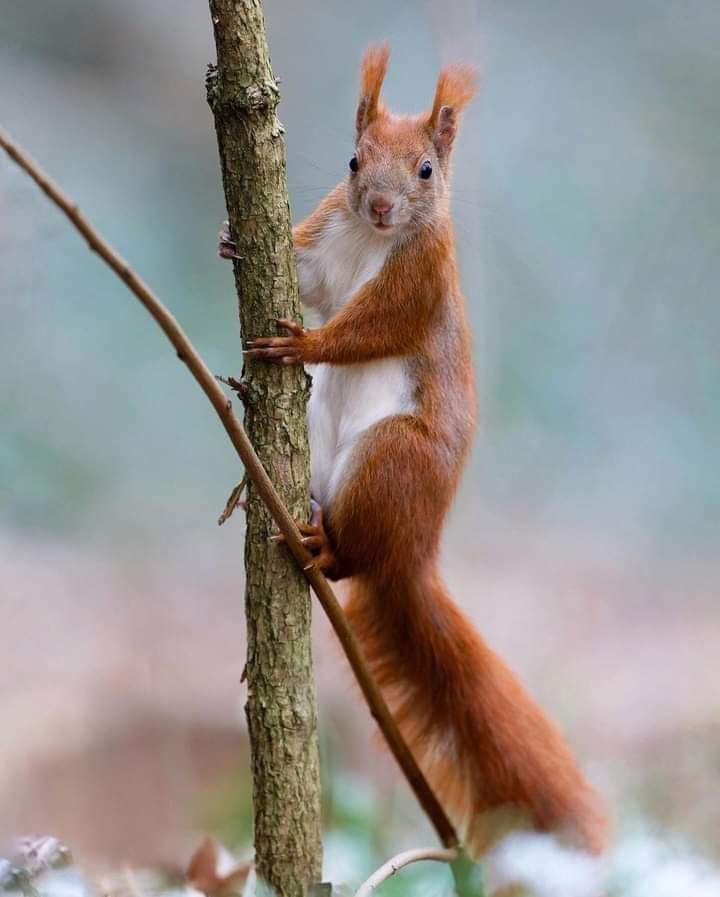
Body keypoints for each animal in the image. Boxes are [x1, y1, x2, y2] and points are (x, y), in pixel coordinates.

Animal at [239, 45, 604, 856]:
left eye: (427, 171)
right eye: (353, 160)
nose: (379, 206)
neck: (373, 242)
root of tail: (415, 551)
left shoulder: (420, 280)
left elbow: (365, 328)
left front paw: (305, 344)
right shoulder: (322, 239)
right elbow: (308, 278)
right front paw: (226, 238)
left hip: (389, 463)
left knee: (352, 559)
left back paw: (326, 545)